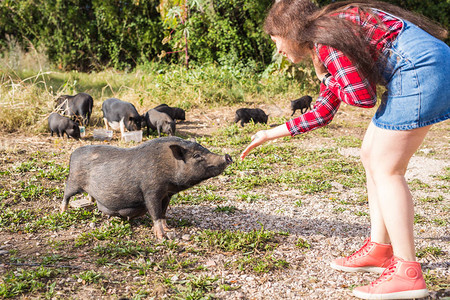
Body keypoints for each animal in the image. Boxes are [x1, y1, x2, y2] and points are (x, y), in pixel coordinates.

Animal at [60, 137, 232, 239]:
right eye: (196, 155)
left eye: (205, 149)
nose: (227, 156)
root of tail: (73, 153)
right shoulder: (151, 191)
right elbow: (155, 212)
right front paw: (162, 237)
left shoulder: (167, 194)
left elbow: (163, 212)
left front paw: (168, 229)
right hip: (74, 180)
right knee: (66, 194)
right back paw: (63, 211)